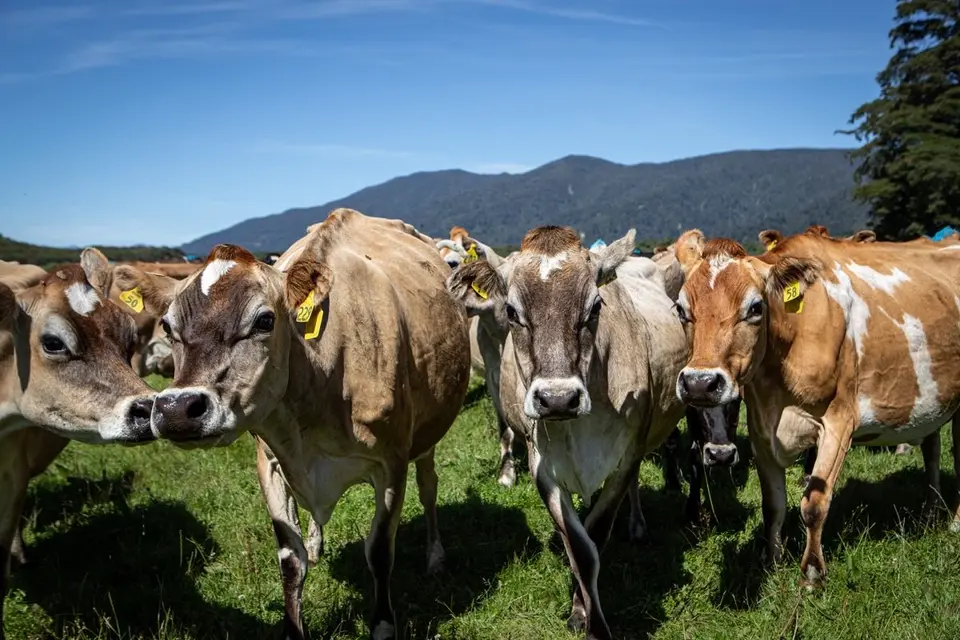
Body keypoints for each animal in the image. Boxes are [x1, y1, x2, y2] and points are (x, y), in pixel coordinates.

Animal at [114, 208, 471, 640]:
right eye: (167, 326)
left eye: (265, 320)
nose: (177, 409)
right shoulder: (269, 462)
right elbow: (290, 558)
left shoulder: (392, 463)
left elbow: (380, 551)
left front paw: (384, 625)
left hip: (428, 438)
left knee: (429, 487)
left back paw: (435, 556)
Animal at [447, 226, 690, 639]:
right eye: (511, 311)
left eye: (595, 307)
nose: (557, 399)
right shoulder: (542, 468)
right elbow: (580, 549)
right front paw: (583, 615)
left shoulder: (627, 455)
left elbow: (598, 532)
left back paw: (637, 525)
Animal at [673, 228, 960, 590]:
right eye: (680, 308)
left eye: (755, 307)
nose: (700, 383)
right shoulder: (761, 431)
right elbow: (773, 505)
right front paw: (772, 563)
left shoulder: (839, 422)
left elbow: (814, 503)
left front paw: (811, 574)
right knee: (933, 450)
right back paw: (931, 513)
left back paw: (955, 523)